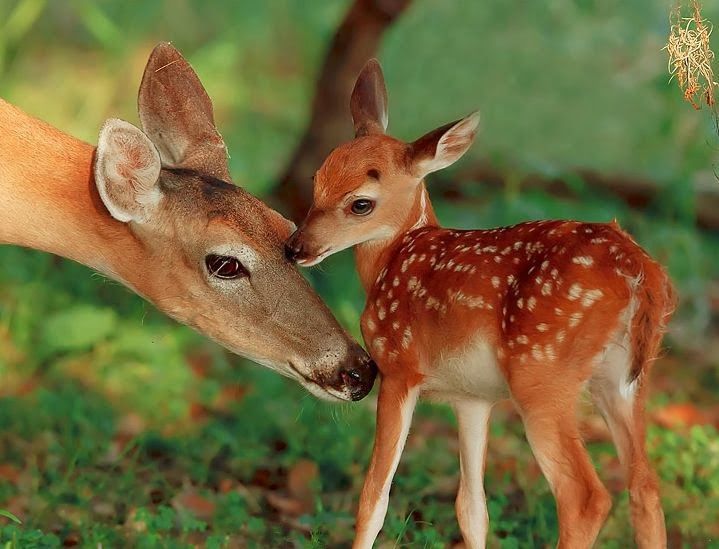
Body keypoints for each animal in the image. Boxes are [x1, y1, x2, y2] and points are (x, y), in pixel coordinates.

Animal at [286, 57, 676, 544]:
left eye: (361, 203)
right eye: (316, 180)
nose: (295, 247)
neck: (393, 258)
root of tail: (639, 270)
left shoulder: (398, 367)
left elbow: (374, 496)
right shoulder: (472, 397)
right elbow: (471, 507)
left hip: (542, 374)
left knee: (586, 497)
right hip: (624, 379)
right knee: (646, 486)